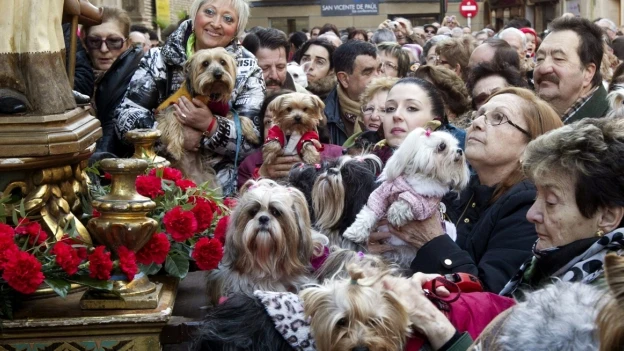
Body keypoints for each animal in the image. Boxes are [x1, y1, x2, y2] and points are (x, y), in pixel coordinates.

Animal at [344, 128, 470, 268]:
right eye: (442, 146)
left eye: (456, 145)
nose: (460, 151)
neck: (418, 178)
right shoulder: (381, 193)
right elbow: (369, 212)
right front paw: (355, 232)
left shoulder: (427, 202)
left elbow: (410, 200)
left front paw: (396, 212)